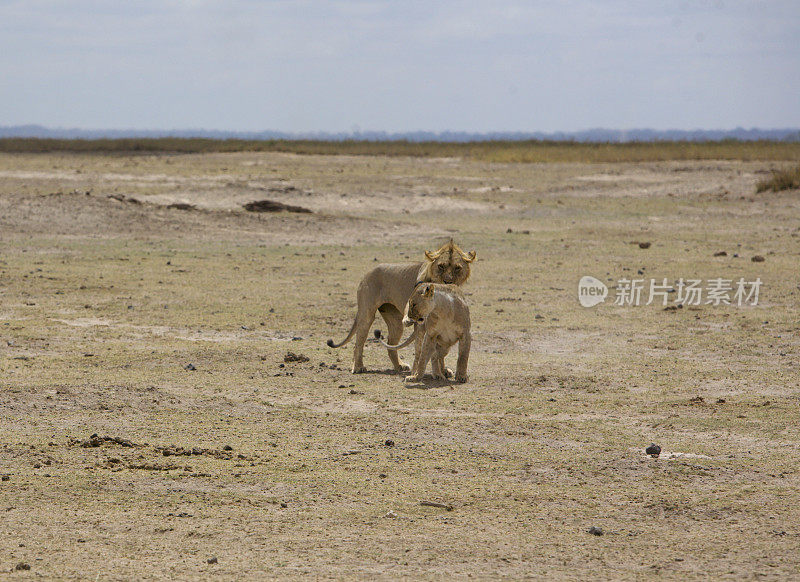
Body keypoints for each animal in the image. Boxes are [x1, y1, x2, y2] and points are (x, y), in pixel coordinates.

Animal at [326, 241, 476, 374]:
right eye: (441, 266)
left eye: (457, 268)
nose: (448, 281)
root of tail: (367, 273)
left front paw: (443, 370)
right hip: (367, 313)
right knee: (359, 342)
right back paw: (358, 367)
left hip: (395, 321)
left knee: (391, 345)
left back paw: (399, 366)